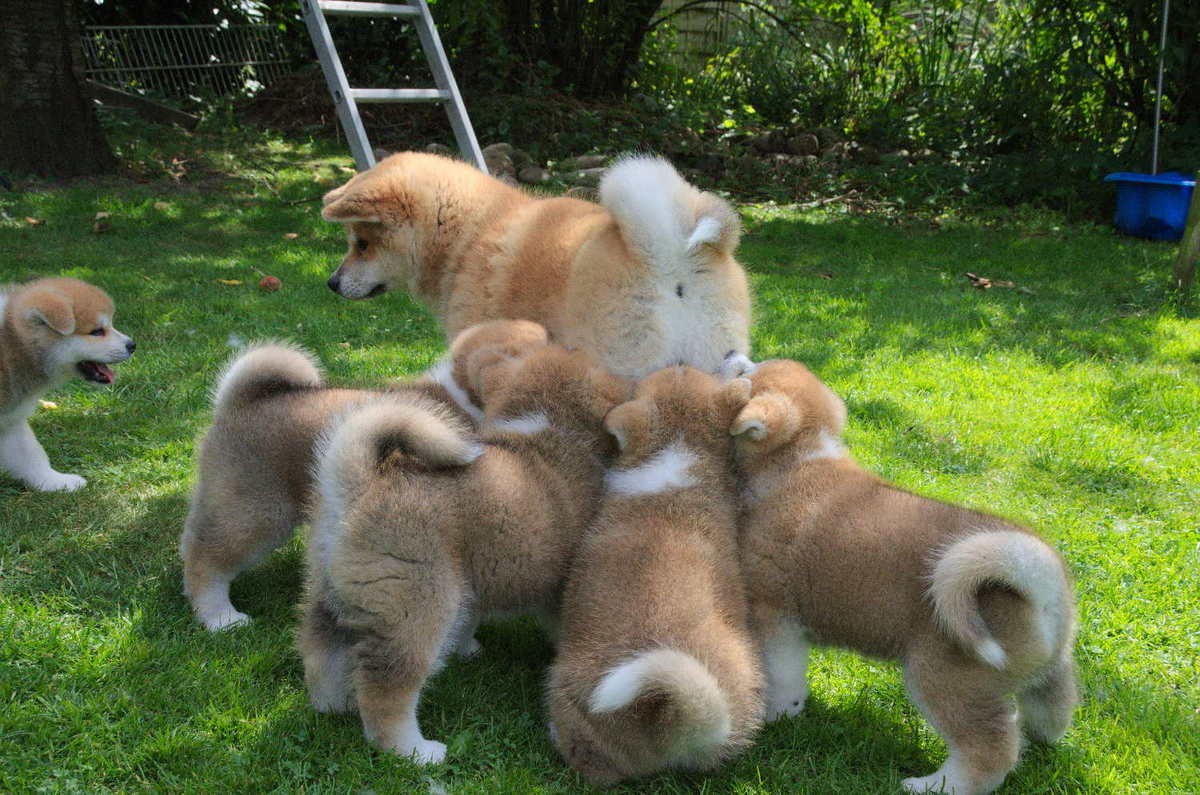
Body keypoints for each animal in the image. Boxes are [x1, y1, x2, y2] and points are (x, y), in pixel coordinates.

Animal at [0, 277, 135, 492]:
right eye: (97, 331)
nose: (132, 345)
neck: (11, 345)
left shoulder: (11, 421)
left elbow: (31, 455)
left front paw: (54, 481)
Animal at [299, 342, 630, 763]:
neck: (551, 430)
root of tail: (358, 485)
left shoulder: (471, 580)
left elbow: (469, 618)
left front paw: (466, 648)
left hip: (333, 596)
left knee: (320, 652)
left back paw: (333, 705)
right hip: (418, 607)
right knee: (386, 691)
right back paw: (415, 751)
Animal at [730, 359, 1078, 795]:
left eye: (746, 372)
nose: (732, 356)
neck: (796, 462)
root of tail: (1039, 581)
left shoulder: (775, 618)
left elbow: (782, 677)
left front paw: (779, 715)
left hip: (943, 677)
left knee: (989, 752)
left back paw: (932, 784)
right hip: (1047, 673)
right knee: (1048, 715)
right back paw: (1039, 739)